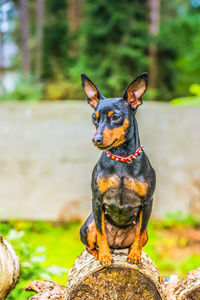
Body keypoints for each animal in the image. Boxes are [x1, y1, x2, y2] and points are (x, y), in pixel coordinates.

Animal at [79, 73, 156, 268]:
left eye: (115, 117)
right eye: (94, 117)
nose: (96, 139)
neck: (121, 159)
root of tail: (117, 244)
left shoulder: (147, 202)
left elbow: (139, 234)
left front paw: (135, 255)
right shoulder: (97, 200)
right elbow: (101, 233)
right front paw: (105, 256)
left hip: (145, 233)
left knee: (140, 236)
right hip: (88, 225)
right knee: (90, 246)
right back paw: (99, 253)